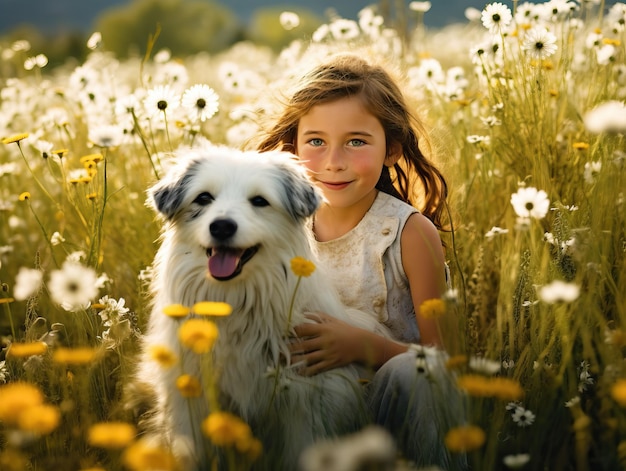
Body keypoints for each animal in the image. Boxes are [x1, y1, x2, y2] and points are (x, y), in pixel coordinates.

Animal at [137, 146, 370, 471]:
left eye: (259, 201)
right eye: (203, 198)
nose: (222, 226)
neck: (234, 304)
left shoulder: (303, 408)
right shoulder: (193, 405)